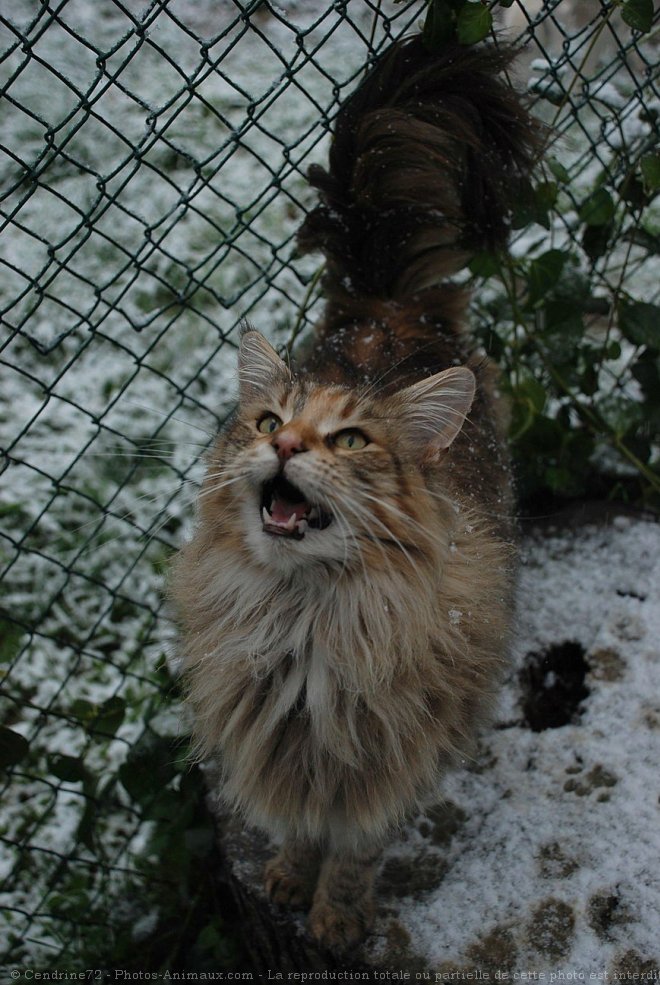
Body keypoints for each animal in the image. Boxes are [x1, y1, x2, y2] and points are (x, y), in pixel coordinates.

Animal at [173, 34, 540, 948]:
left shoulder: (384, 770)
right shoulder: (283, 751)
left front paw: (335, 917)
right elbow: (298, 832)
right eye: (270, 422)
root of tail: (389, 309)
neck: (305, 621)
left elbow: (353, 854)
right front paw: (284, 878)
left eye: (350, 440)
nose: (287, 445)